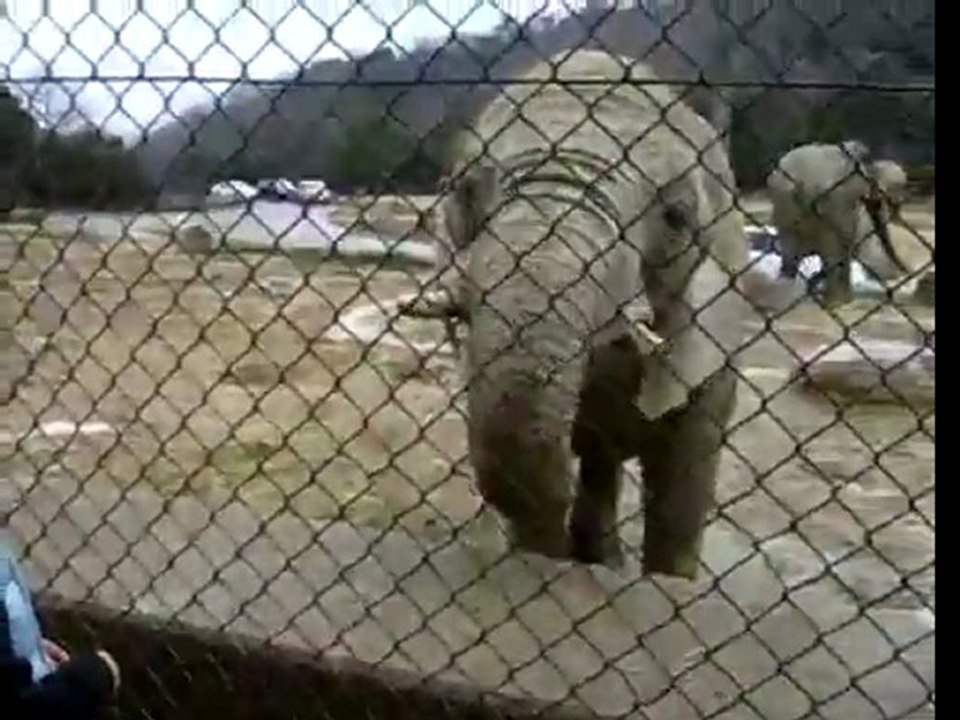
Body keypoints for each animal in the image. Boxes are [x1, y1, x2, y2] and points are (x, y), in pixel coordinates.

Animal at [766, 141, 912, 305]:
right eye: (880, 200)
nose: (905, 272)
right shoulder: (844, 195)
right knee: (831, 250)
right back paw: (836, 300)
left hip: (785, 207)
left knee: (790, 251)